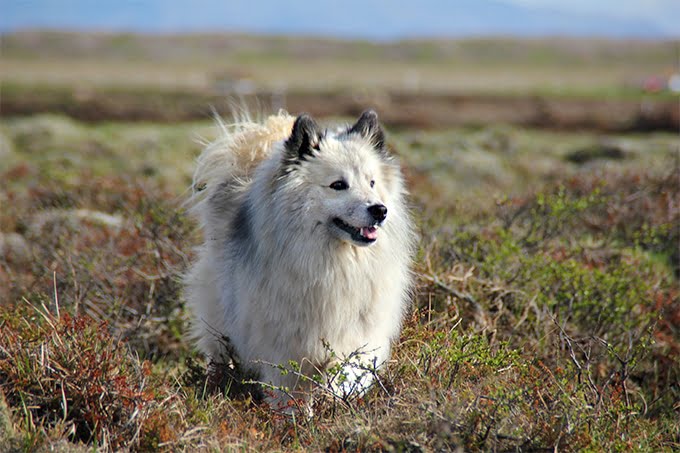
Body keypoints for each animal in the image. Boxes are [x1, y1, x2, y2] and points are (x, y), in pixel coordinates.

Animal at [186, 109, 418, 410]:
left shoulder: (358, 332)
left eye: (372, 182)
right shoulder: (283, 344)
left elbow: (347, 370)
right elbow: (290, 390)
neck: (335, 265)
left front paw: (337, 398)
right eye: (338, 185)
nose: (380, 210)